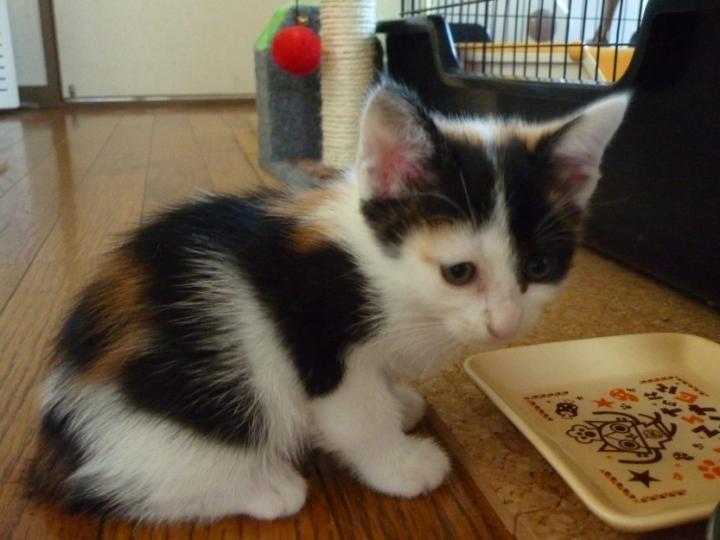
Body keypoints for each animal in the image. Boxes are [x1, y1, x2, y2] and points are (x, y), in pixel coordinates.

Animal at [27, 81, 629, 522]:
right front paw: (400, 464)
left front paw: (401, 402)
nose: (504, 326)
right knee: (116, 486)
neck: (380, 267)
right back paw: (265, 488)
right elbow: (358, 415)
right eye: (459, 272)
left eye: (538, 268)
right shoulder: (320, 336)